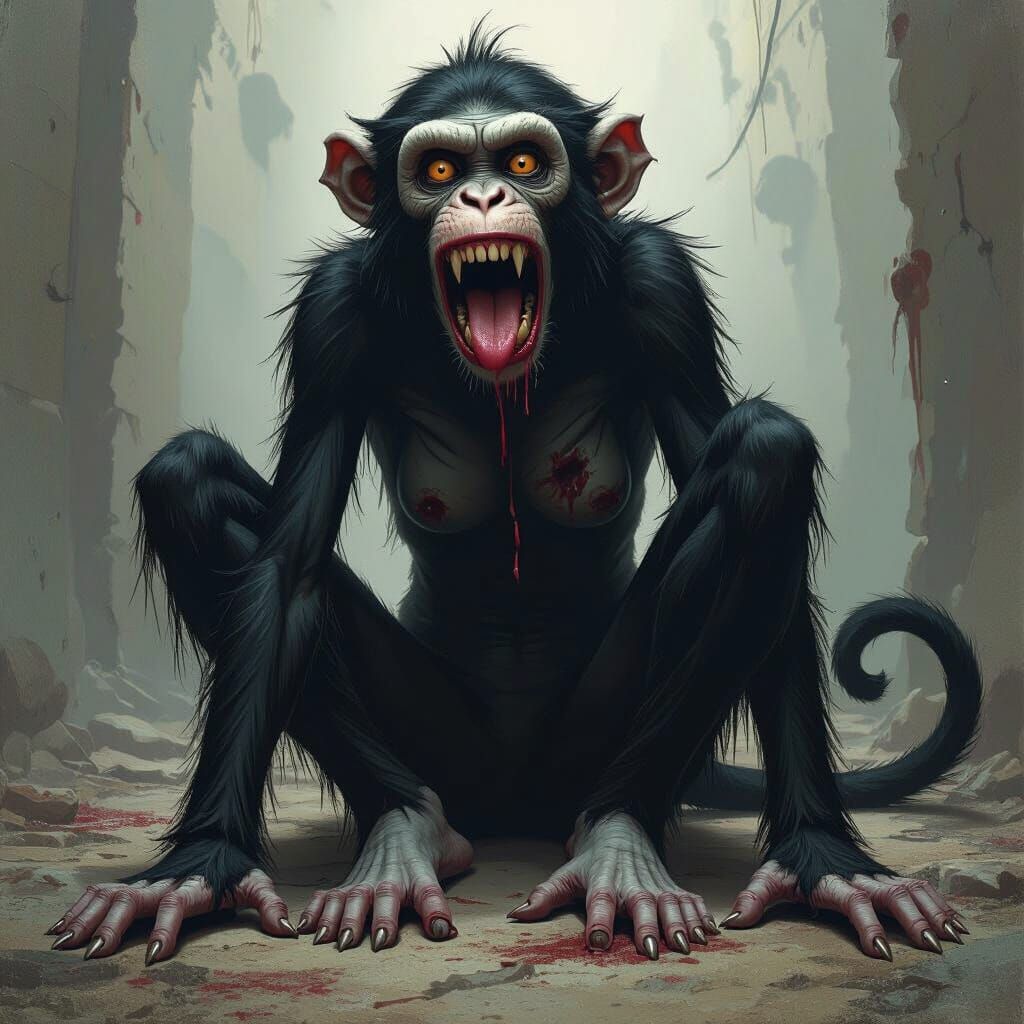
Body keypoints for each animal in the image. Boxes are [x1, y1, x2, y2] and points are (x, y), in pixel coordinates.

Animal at [50, 25, 980, 968]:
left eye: (526, 160)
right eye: (437, 170)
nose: (485, 192)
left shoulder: (665, 287)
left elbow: (761, 483)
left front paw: (823, 857)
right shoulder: (329, 314)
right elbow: (287, 571)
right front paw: (199, 865)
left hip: (586, 749)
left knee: (765, 456)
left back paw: (615, 839)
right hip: (448, 748)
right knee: (188, 479)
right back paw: (410, 828)